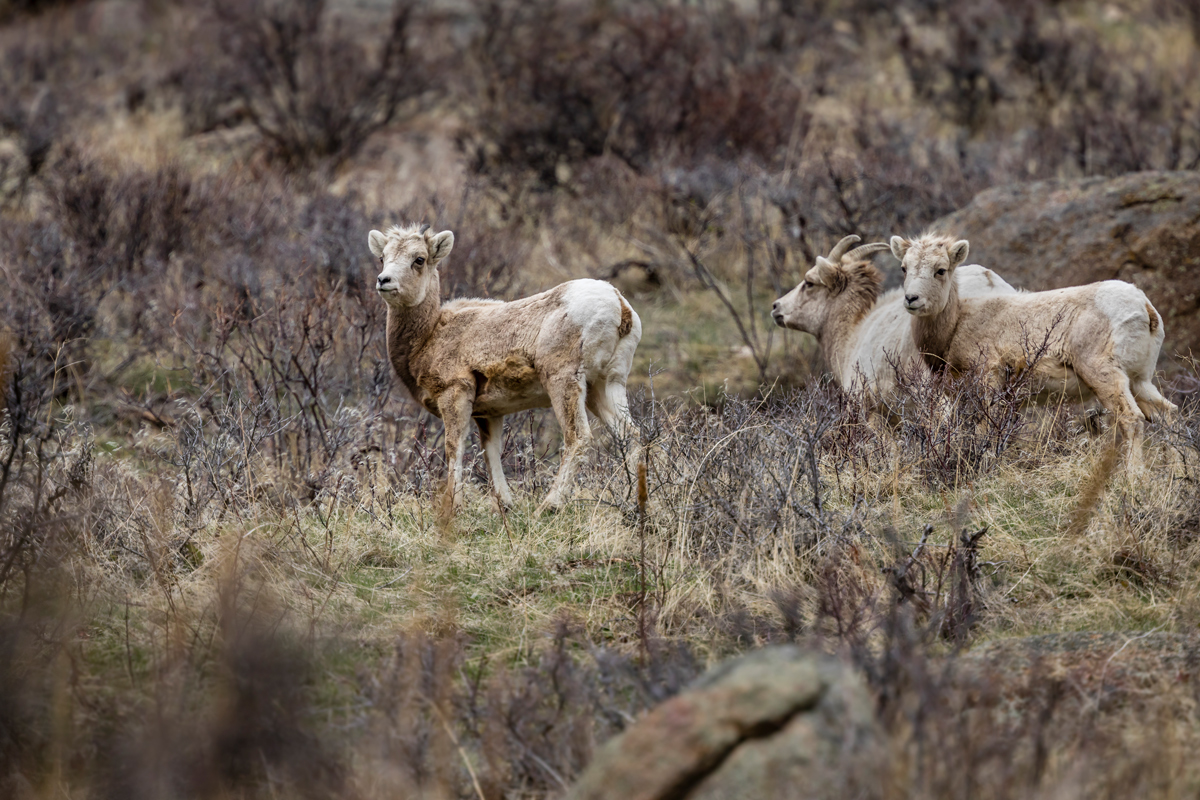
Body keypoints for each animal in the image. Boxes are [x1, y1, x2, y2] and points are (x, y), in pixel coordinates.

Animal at [369, 221, 643, 520]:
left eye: (419, 259)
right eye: (382, 257)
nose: (384, 280)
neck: (428, 337)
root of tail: (619, 305)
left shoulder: (455, 395)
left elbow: (454, 448)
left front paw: (453, 509)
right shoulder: (489, 414)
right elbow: (492, 453)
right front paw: (505, 506)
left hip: (563, 381)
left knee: (578, 438)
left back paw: (548, 507)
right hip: (605, 386)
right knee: (631, 435)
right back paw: (634, 505)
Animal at [897, 231, 1176, 450]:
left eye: (940, 270)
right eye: (904, 268)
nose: (911, 298)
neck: (956, 326)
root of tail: (1145, 307)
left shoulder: (989, 380)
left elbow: (984, 432)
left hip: (1104, 375)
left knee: (1132, 419)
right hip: (1140, 381)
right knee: (1168, 417)